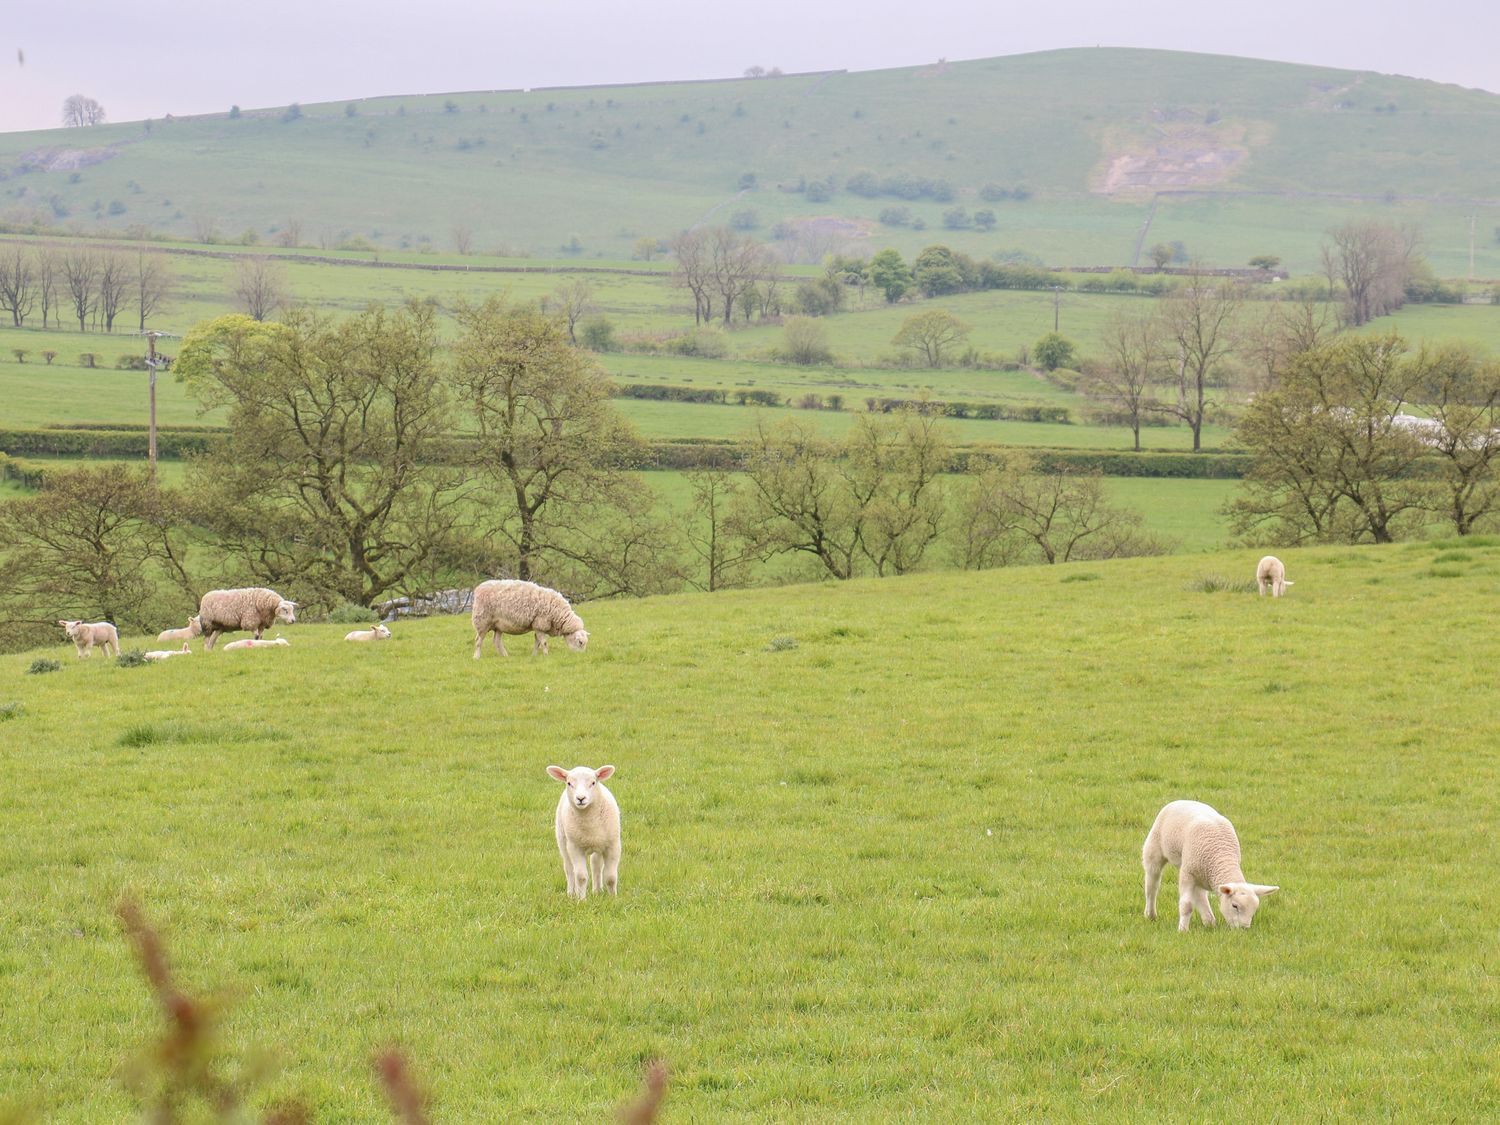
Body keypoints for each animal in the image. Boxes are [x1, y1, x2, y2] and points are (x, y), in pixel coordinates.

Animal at [546, 762, 621, 906]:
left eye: (593, 782)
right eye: (569, 783)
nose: (581, 798)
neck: (590, 823)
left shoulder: (613, 845)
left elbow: (611, 877)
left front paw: (613, 899)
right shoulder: (575, 847)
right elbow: (580, 876)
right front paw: (581, 900)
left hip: (598, 846)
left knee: (596, 865)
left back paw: (597, 891)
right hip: (563, 841)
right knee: (569, 869)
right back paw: (571, 893)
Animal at [1146, 804, 1278, 936]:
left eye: (1254, 909)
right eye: (1234, 906)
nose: (1244, 929)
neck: (1222, 855)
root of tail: (1181, 801)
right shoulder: (1187, 874)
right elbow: (1187, 905)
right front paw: (1183, 930)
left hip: (1199, 874)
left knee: (1200, 894)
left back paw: (1209, 922)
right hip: (1154, 850)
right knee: (1152, 885)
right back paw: (1150, 915)